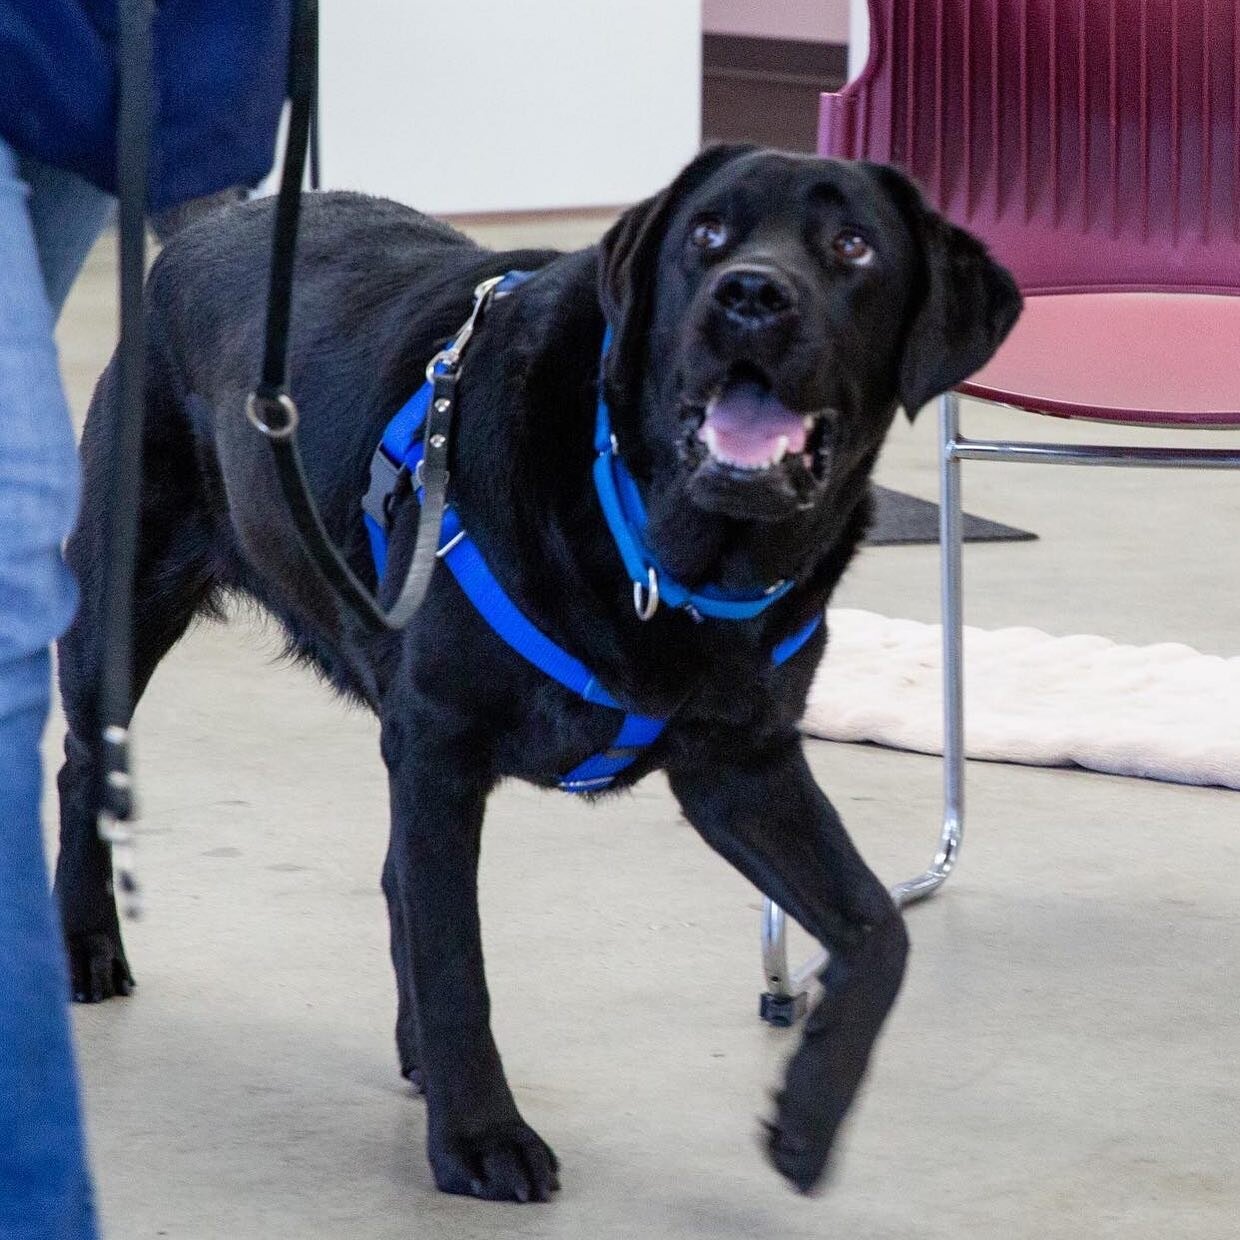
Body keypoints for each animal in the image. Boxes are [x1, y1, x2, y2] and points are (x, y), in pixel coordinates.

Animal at [55, 145, 1016, 1200]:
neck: (662, 553)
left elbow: (880, 928)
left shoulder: (741, 766)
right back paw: (87, 946)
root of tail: (209, 228)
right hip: (121, 605)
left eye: (852, 245)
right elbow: (456, 960)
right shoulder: (440, 744)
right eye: (707, 233)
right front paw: (480, 1137)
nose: (752, 294)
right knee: (81, 769)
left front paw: (805, 1117)